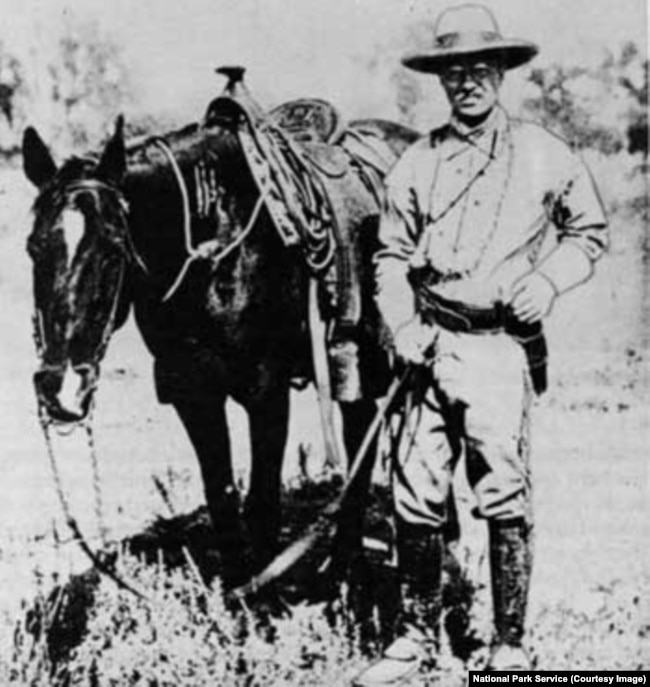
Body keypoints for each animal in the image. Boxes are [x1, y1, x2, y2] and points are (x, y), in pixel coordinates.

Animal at [22, 86, 418, 592]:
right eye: (33, 248)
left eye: (113, 251)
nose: (61, 390)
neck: (211, 252)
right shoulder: (193, 391)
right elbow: (222, 494)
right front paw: (233, 588)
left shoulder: (266, 392)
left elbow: (262, 501)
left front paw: (262, 596)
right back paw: (343, 564)